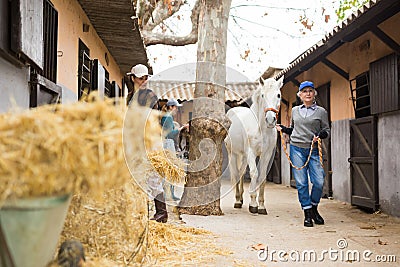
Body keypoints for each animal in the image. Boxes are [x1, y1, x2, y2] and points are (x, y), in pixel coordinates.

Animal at [225, 76, 284, 215]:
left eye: (278, 95)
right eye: (262, 95)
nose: (270, 120)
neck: (261, 129)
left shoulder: (266, 154)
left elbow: (262, 176)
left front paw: (261, 206)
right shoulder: (251, 152)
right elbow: (254, 174)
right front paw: (253, 204)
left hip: (243, 156)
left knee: (241, 173)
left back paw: (241, 199)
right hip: (233, 153)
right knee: (236, 174)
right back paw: (237, 200)